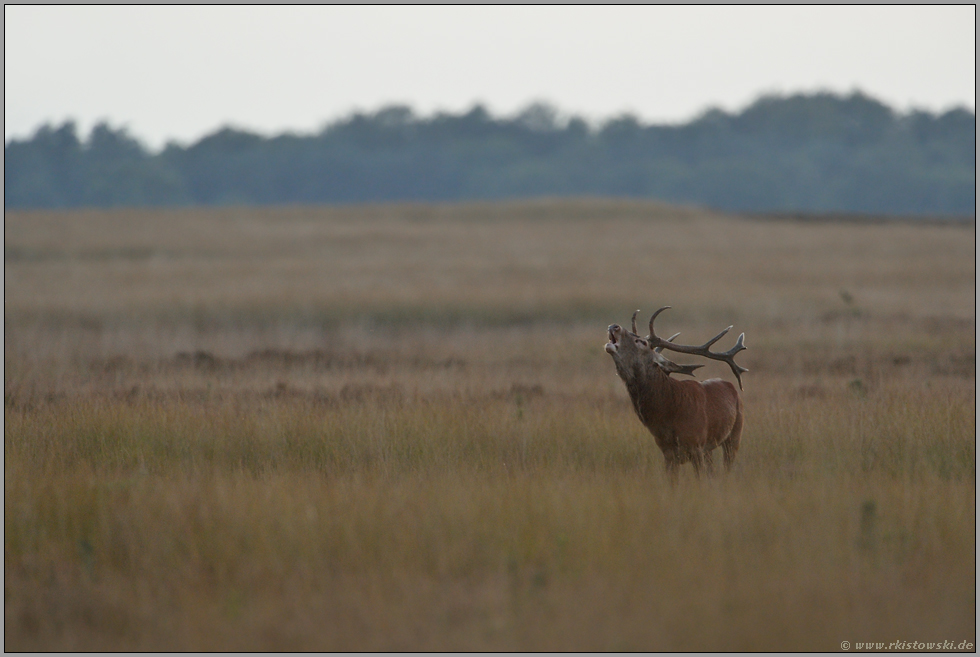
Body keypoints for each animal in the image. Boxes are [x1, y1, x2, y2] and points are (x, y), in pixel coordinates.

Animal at [600, 304, 748, 480]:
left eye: (642, 342)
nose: (614, 326)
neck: (669, 414)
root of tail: (732, 387)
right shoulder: (667, 451)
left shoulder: (696, 444)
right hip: (710, 448)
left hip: (735, 433)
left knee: (727, 465)